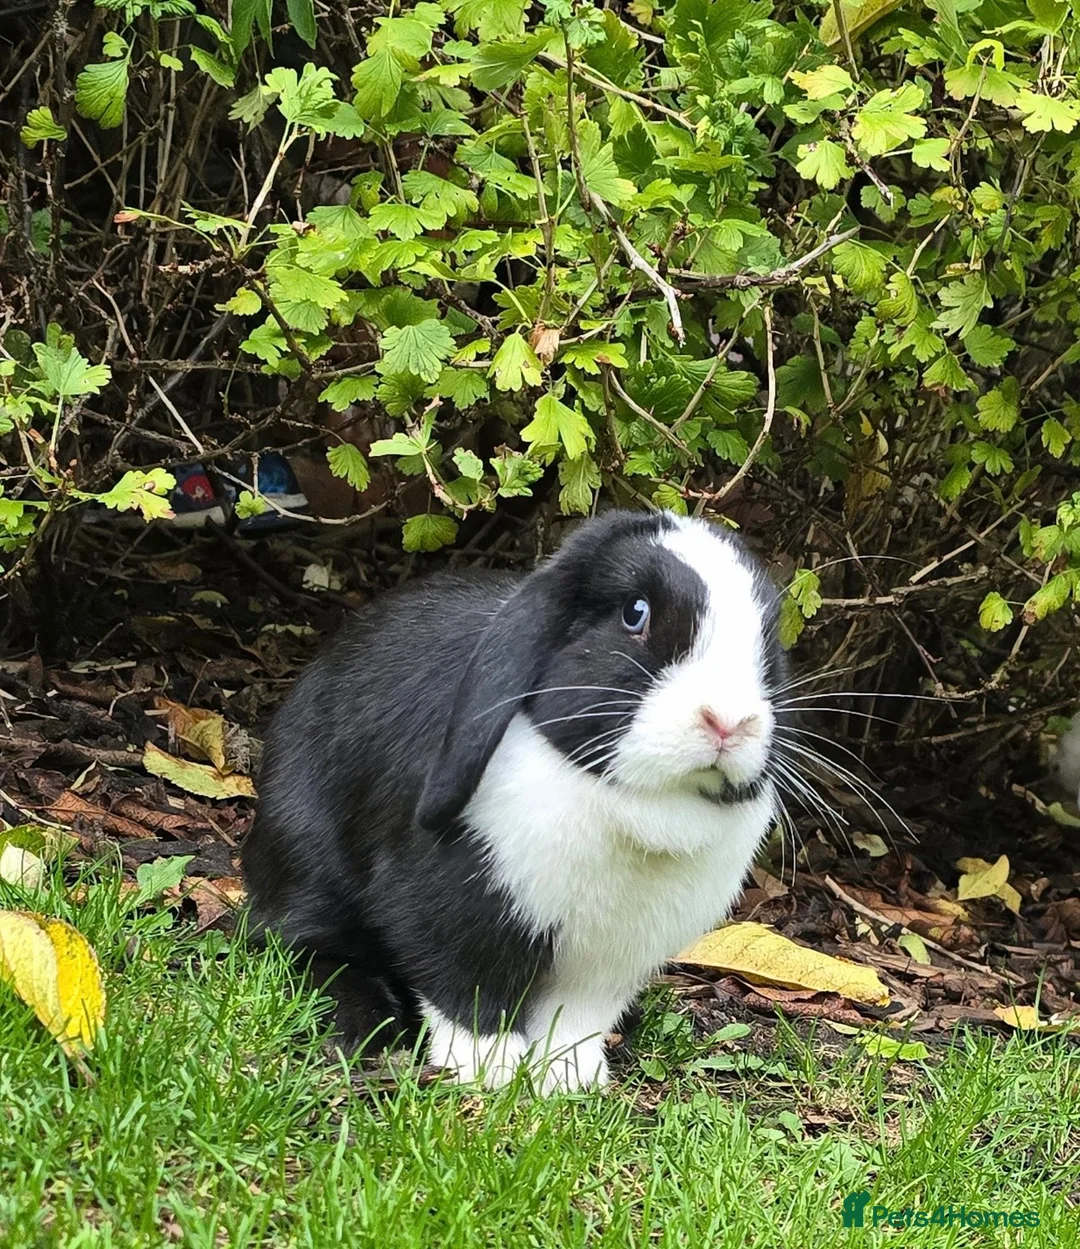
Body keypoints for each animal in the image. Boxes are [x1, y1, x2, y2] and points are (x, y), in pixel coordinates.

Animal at [242, 509, 786, 1091]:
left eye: (767, 641)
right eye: (634, 614)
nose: (729, 721)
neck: (636, 803)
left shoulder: (608, 962)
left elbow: (577, 1018)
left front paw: (571, 1081)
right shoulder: (453, 909)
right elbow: (465, 988)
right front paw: (493, 1070)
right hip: (305, 859)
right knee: (298, 942)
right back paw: (364, 1023)